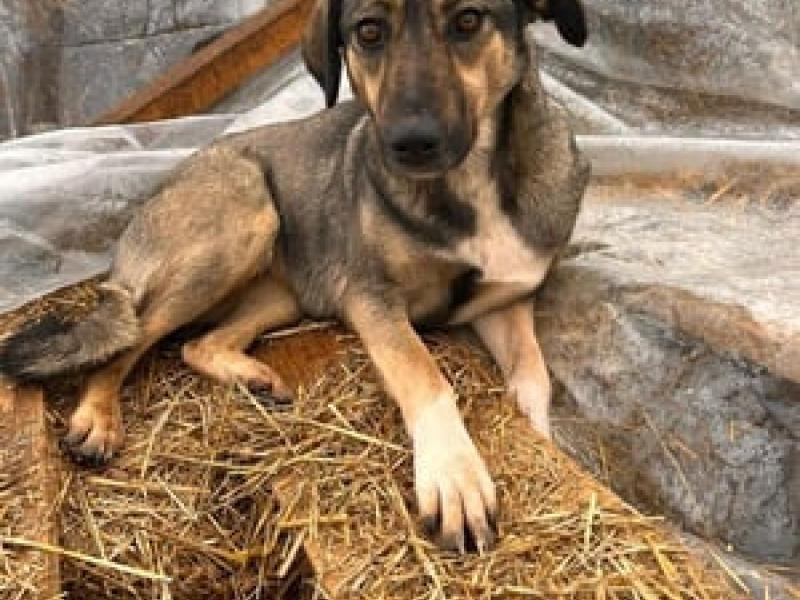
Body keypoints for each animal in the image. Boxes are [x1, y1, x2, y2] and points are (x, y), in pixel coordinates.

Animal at [0, 0, 589, 552]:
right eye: (368, 32)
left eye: (468, 20)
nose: (408, 143)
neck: (471, 183)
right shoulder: (371, 298)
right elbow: (423, 372)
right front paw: (454, 476)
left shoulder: (505, 298)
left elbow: (535, 375)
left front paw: (539, 435)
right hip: (243, 214)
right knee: (132, 336)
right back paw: (97, 417)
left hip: (284, 291)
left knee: (198, 344)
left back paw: (251, 379)